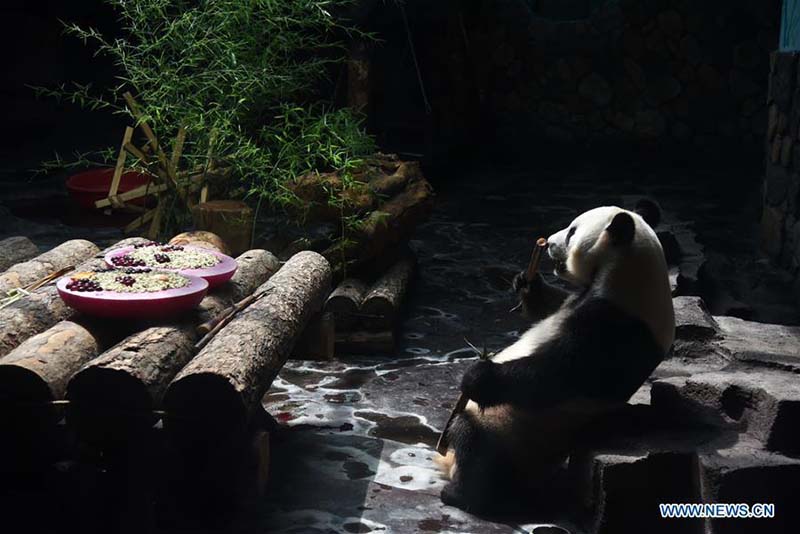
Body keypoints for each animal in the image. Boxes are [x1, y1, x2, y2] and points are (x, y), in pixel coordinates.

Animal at [438, 200, 676, 516]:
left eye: (572, 231)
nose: (549, 242)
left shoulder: (618, 326)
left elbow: (559, 374)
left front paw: (478, 376)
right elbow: (552, 306)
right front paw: (528, 283)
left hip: (509, 431)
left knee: (473, 441)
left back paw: (461, 493)